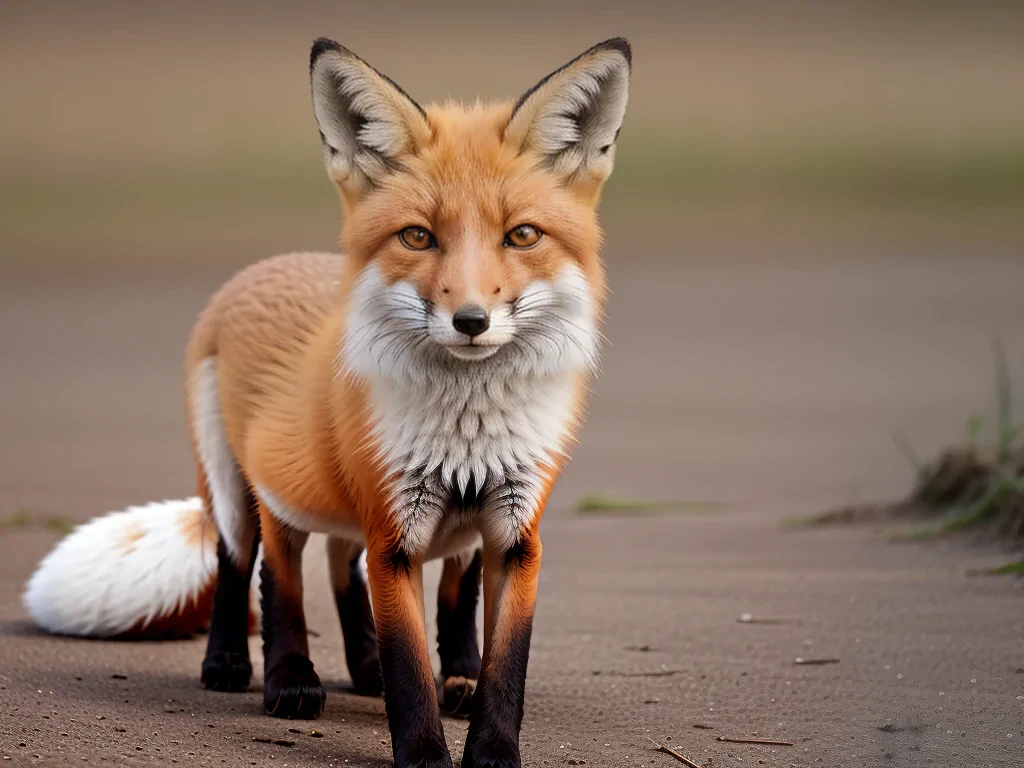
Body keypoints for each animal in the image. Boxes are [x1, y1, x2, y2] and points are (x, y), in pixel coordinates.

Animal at [24, 37, 631, 768]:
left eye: (522, 236)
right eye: (418, 237)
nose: (471, 321)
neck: (465, 431)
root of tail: (266, 265)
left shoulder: (512, 533)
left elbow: (496, 655)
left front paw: (485, 740)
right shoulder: (393, 532)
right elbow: (405, 663)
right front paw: (423, 753)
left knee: (356, 574)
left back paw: (393, 671)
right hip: (239, 491)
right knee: (258, 570)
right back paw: (266, 672)